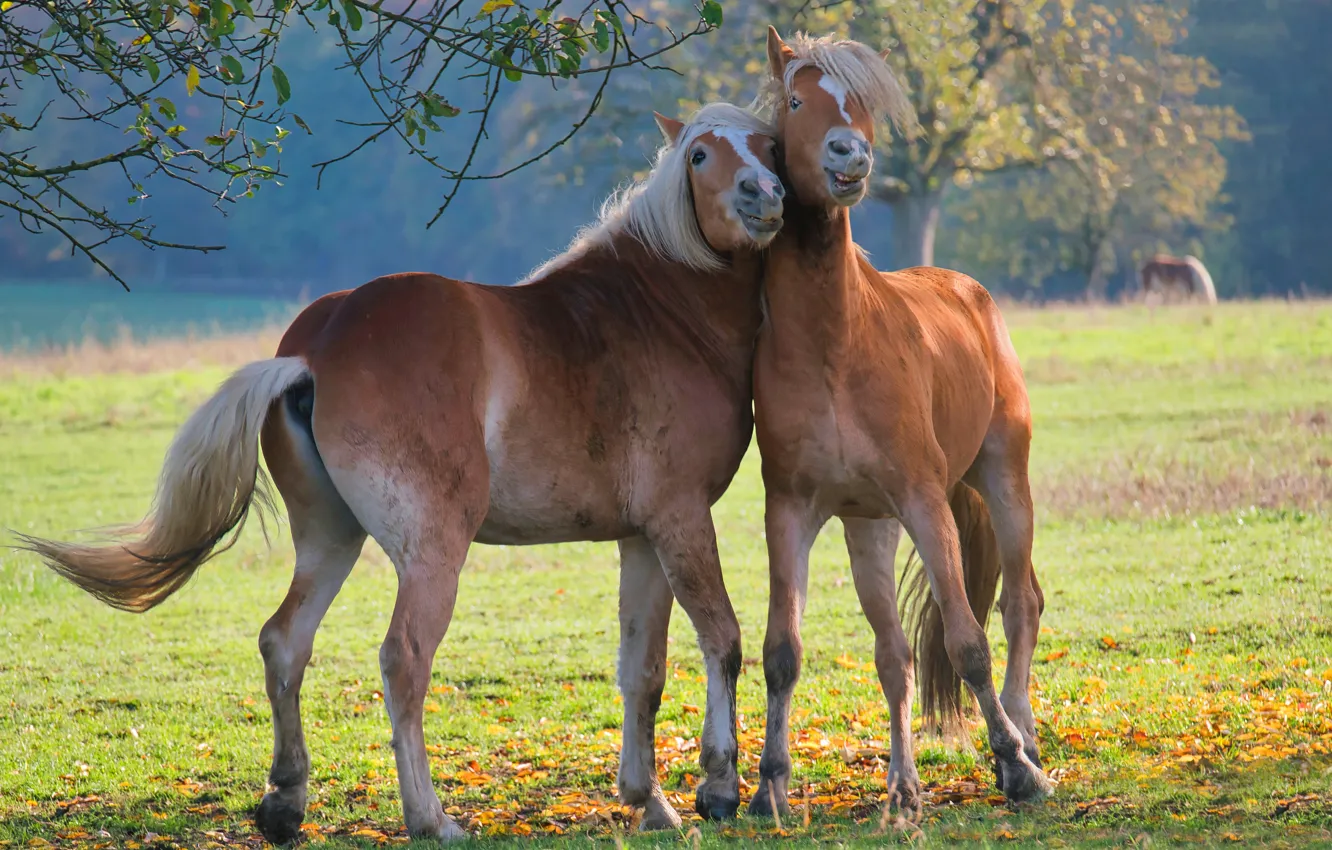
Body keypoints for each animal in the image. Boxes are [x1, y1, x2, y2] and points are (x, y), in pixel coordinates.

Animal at [16, 102, 785, 841]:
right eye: (699, 154)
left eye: (769, 146)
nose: (764, 193)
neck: (652, 314)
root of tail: (317, 350)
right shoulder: (680, 519)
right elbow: (722, 640)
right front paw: (718, 788)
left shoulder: (639, 537)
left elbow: (641, 672)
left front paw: (648, 801)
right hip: (432, 553)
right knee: (403, 659)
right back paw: (430, 818)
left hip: (329, 540)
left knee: (284, 642)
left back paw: (285, 804)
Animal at [746, 28, 1053, 816]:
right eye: (798, 102)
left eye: (861, 104)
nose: (849, 154)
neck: (835, 343)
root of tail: (969, 291)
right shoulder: (791, 511)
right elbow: (783, 651)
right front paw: (768, 788)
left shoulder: (924, 500)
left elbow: (968, 642)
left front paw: (1015, 768)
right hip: (870, 529)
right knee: (897, 655)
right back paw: (903, 787)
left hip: (1003, 480)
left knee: (1019, 605)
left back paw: (1026, 741)